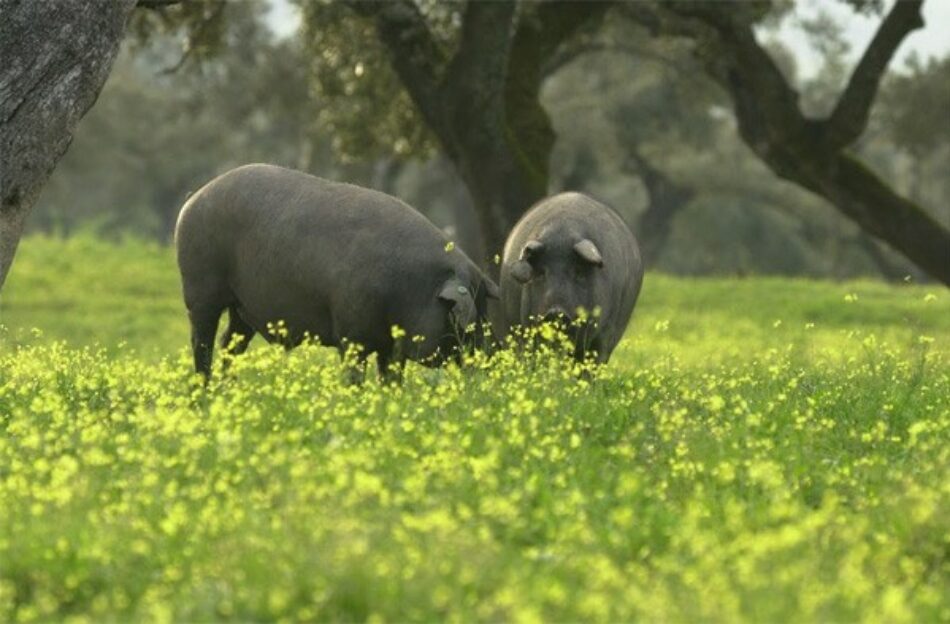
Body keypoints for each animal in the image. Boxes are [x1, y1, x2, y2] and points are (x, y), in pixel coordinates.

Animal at [175, 163, 498, 378]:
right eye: (463, 324)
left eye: (484, 313)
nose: (487, 366)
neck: (412, 287)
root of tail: (193, 198)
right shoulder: (351, 332)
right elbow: (354, 373)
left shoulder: (391, 346)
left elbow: (391, 377)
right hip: (199, 287)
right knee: (202, 340)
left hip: (242, 307)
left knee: (229, 342)